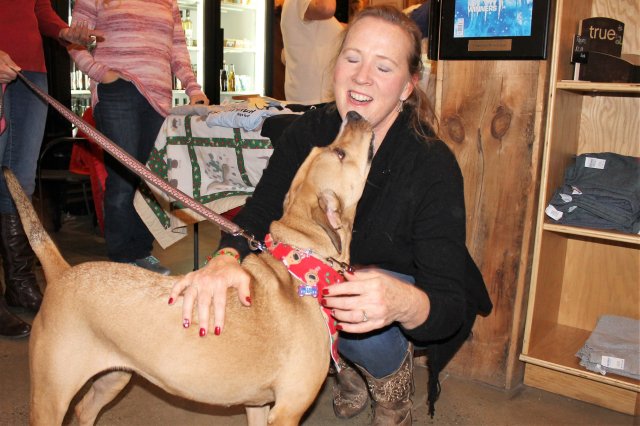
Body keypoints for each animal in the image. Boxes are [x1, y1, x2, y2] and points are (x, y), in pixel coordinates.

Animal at [6, 110, 373, 426]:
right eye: (340, 153)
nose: (354, 114)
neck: (302, 263)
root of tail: (62, 272)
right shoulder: (287, 412)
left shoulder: (257, 406)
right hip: (51, 397)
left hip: (114, 377)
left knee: (85, 410)